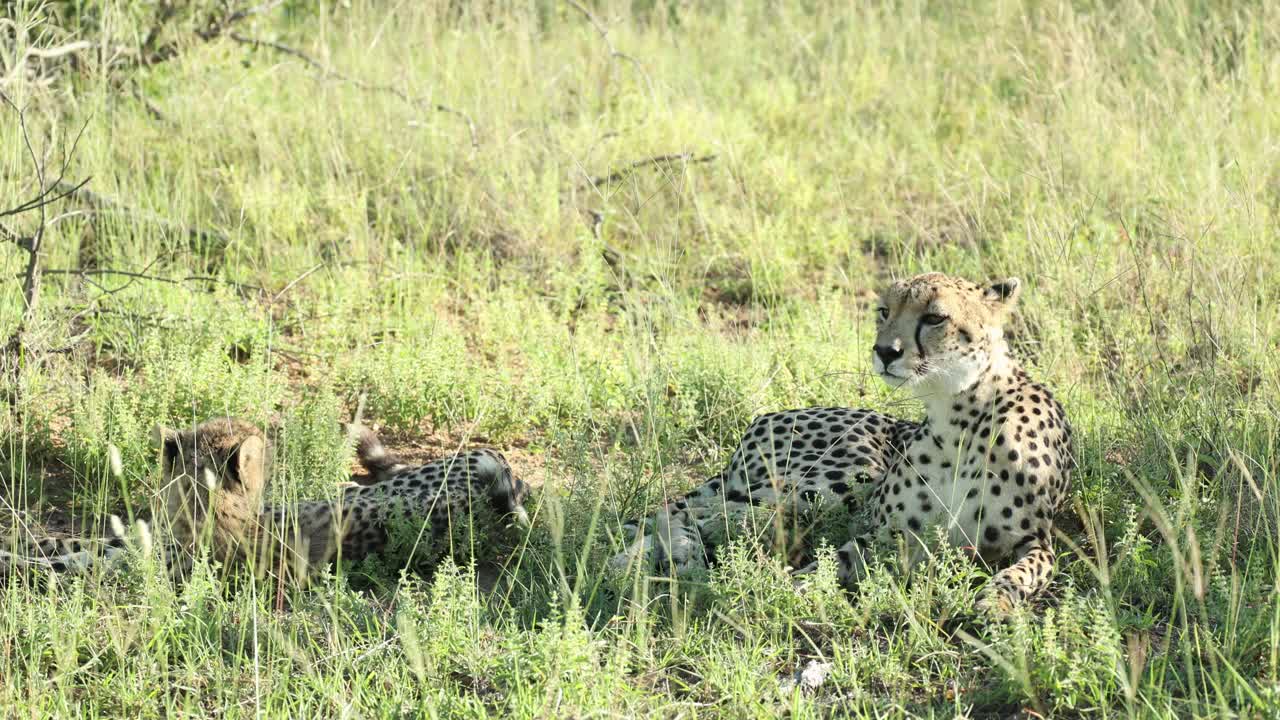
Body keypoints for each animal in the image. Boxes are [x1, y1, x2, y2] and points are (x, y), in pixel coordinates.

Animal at [0, 417, 531, 586]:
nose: (270, 447)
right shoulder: (131, 544)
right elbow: (70, 543)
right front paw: (23, 543)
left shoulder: (137, 565)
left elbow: (62, 561)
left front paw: (15, 559)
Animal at [610, 272, 1073, 613]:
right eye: (885, 311)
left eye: (935, 318)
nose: (884, 351)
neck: (956, 414)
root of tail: (766, 416)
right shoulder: (886, 531)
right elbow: (836, 559)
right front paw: (786, 588)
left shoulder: (1036, 542)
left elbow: (1023, 573)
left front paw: (996, 601)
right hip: (841, 480)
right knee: (693, 511)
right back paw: (658, 558)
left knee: (711, 514)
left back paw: (657, 558)